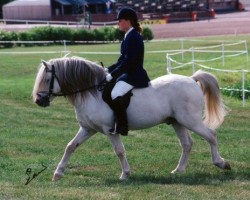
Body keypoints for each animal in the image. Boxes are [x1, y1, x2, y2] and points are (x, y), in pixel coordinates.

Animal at [32, 56, 230, 181]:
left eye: (47, 79)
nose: (39, 101)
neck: (92, 93)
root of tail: (191, 79)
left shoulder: (110, 131)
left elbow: (119, 151)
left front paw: (125, 174)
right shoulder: (88, 129)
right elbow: (71, 146)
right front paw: (58, 174)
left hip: (191, 121)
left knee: (211, 135)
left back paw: (221, 163)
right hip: (177, 122)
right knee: (187, 144)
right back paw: (178, 170)